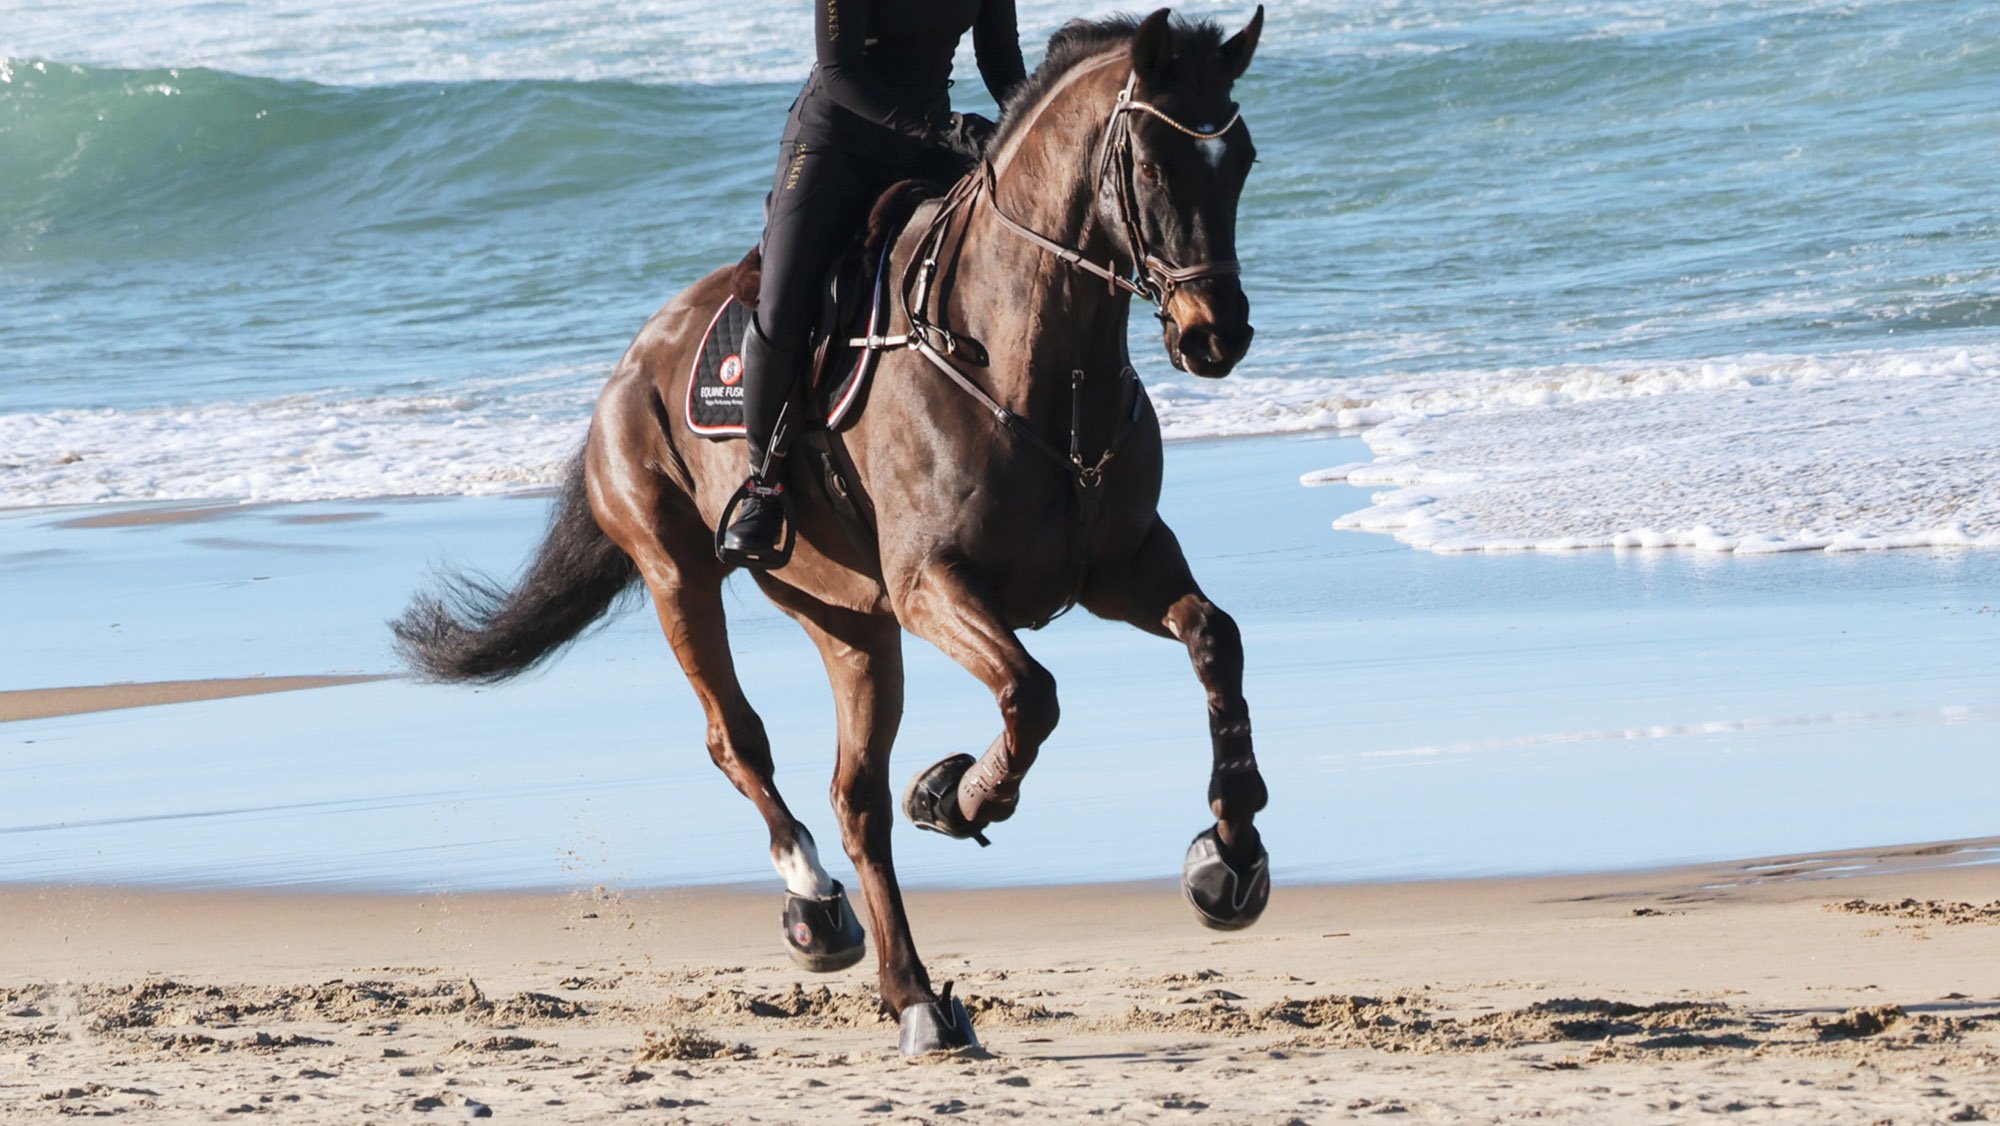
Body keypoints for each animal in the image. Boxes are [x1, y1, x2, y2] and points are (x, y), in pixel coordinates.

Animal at [393, 6, 1268, 1054]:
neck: (1035, 359)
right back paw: (816, 902)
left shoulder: (1121, 566)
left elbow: (1215, 640)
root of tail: (628, 366)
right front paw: (960, 795)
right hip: (679, 572)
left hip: (849, 622)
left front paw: (1230, 857)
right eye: (1150, 164)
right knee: (737, 740)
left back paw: (916, 996)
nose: (1217, 334)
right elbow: (1033, 693)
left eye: (1241, 159)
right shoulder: (935, 584)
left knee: (857, 800)